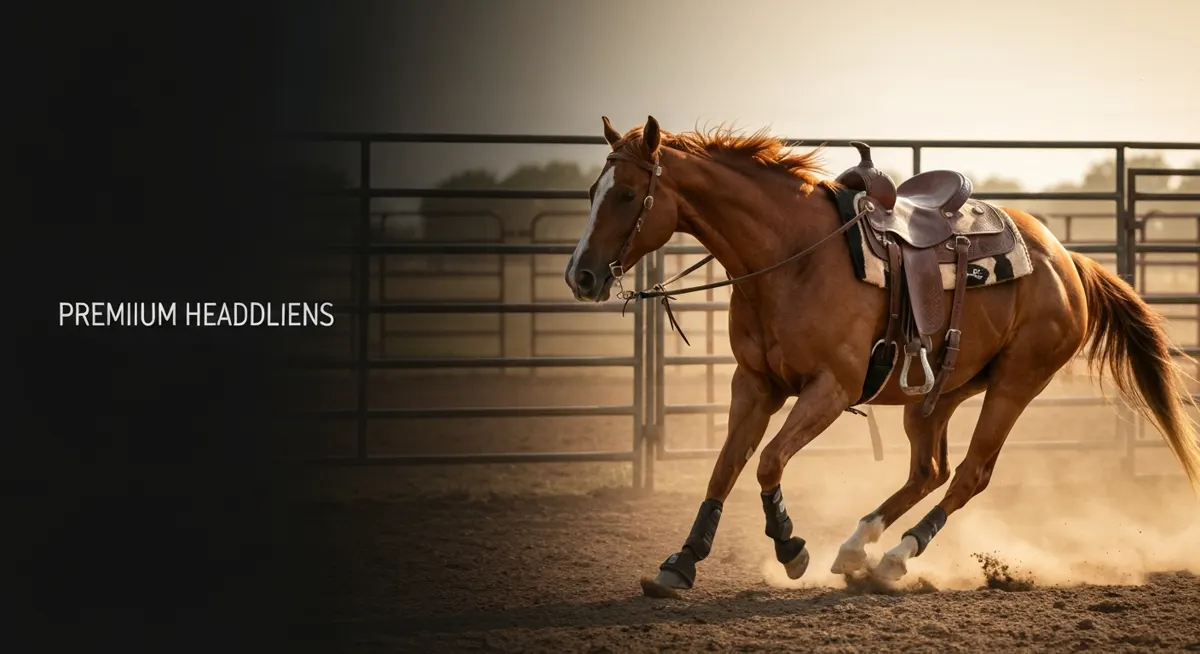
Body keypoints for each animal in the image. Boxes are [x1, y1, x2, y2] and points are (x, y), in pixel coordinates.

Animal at [563, 115, 1200, 597]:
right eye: (592, 192)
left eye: (626, 194)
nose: (580, 275)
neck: (792, 256)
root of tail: (1067, 259)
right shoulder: (754, 384)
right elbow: (727, 465)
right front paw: (680, 562)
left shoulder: (831, 388)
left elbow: (768, 461)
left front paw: (791, 547)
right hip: (939, 392)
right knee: (929, 470)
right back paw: (856, 548)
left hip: (1015, 385)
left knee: (970, 473)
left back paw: (896, 556)